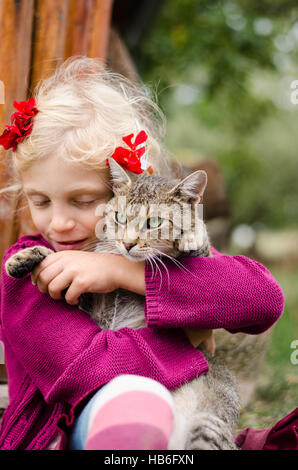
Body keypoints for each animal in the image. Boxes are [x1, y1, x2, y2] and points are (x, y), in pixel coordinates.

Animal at [5, 159, 240, 452]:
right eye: (120, 218)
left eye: (154, 222)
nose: (127, 243)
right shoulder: (84, 303)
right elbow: (58, 259)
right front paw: (22, 257)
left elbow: (203, 248)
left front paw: (193, 234)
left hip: (209, 425)